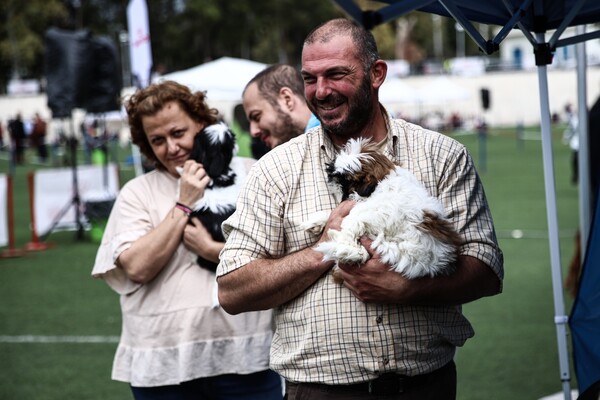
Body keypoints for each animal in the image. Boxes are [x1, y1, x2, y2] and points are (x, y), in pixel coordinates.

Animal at [302, 139, 462, 280]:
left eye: (346, 180)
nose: (331, 179)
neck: (381, 181)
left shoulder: (380, 211)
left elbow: (354, 218)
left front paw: (343, 237)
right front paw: (316, 221)